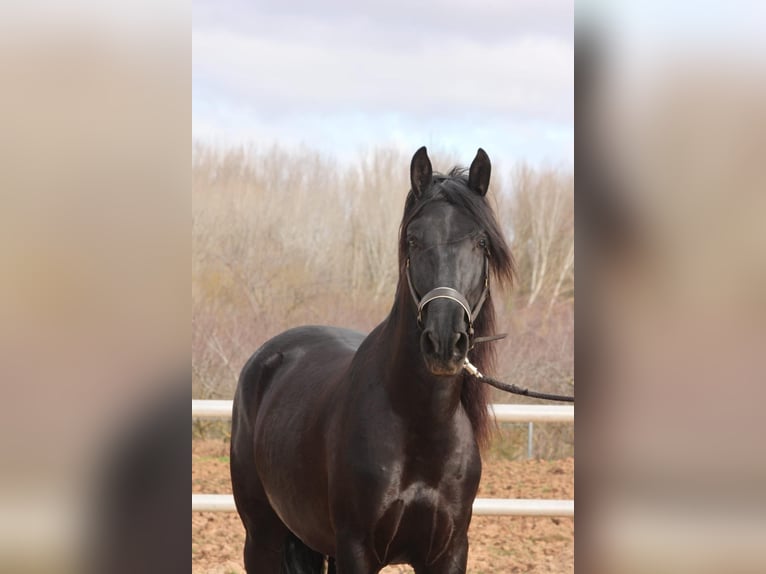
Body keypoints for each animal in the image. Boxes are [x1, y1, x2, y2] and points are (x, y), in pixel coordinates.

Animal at [230, 150, 516, 574]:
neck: (419, 424)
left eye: (481, 242)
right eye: (413, 239)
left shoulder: (448, 552)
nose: (444, 341)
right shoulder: (356, 549)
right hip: (263, 539)